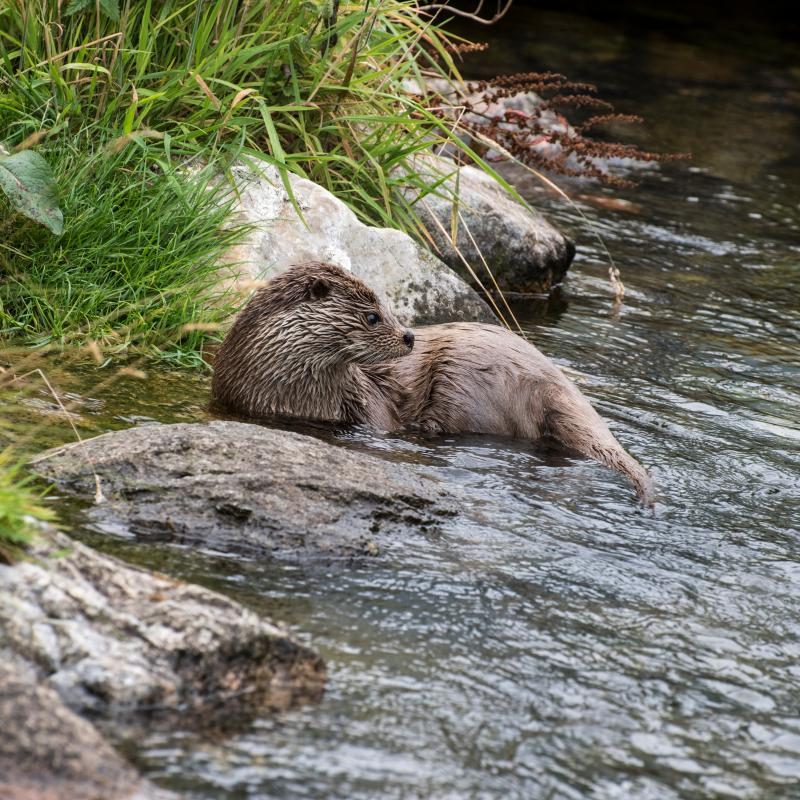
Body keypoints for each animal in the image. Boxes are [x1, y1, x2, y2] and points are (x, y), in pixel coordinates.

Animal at [212, 262, 653, 503]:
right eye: (373, 316)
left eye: (390, 308)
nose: (409, 336)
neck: (286, 392)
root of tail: (554, 383)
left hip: (466, 378)